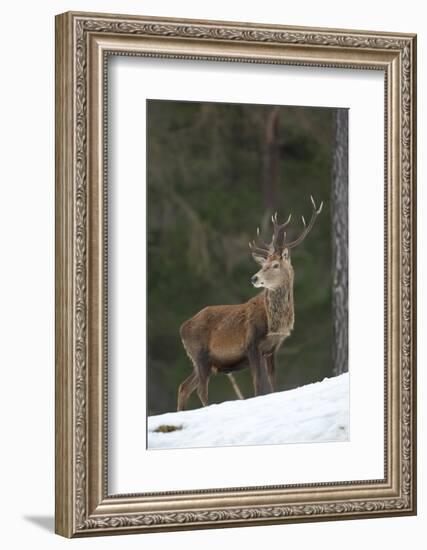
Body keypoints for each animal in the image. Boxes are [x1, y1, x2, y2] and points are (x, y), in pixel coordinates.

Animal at [176, 196, 322, 412]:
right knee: (200, 389)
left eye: (275, 265)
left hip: (204, 362)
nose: (254, 278)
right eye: (263, 264)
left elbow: (273, 382)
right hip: (199, 354)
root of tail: (182, 328)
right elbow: (258, 384)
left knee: (184, 386)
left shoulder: (272, 349)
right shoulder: (251, 344)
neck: (274, 324)